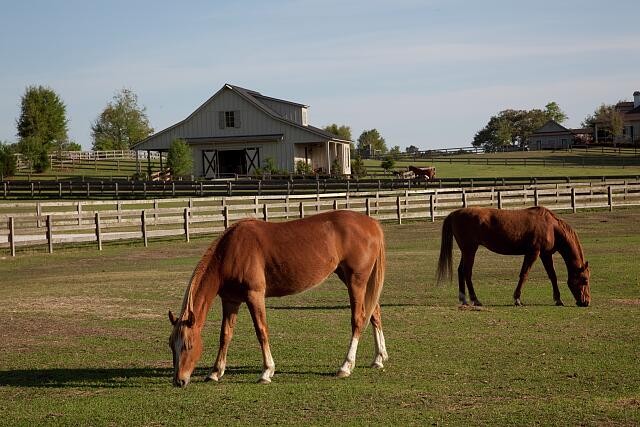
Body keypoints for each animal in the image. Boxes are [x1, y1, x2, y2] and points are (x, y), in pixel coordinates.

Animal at [168, 210, 388, 387]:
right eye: (171, 345)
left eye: (188, 345)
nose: (179, 381)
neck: (231, 251)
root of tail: (371, 223)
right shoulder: (231, 301)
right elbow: (225, 335)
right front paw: (215, 372)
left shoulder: (254, 295)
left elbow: (261, 331)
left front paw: (266, 372)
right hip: (355, 280)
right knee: (374, 313)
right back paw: (378, 358)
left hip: (356, 281)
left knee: (358, 320)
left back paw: (346, 367)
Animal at [435, 206, 591, 307]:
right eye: (584, 279)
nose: (586, 302)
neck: (551, 226)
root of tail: (454, 213)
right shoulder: (533, 253)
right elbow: (524, 274)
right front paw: (517, 299)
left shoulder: (545, 254)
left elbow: (552, 276)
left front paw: (558, 299)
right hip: (470, 250)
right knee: (467, 272)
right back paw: (475, 299)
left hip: (466, 251)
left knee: (461, 271)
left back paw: (464, 299)